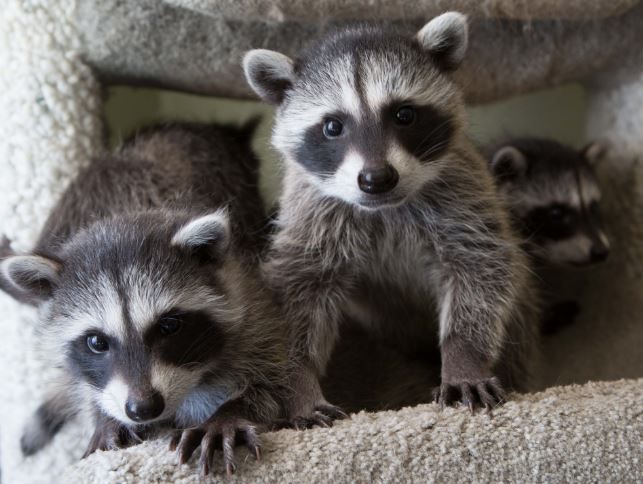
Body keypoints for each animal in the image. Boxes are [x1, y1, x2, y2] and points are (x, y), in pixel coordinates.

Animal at [0, 122, 286, 475]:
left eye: (169, 327)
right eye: (96, 342)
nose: (143, 408)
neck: (122, 219)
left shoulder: (245, 289)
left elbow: (276, 374)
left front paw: (231, 411)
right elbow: (82, 383)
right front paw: (104, 417)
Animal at [243, 12, 539, 424]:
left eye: (404, 114)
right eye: (333, 126)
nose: (376, 178)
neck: (383, 207)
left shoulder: (463, 190)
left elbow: (481, 267)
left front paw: (463, 356)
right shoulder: (311, 209)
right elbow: (297, 290)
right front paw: (298, 380)